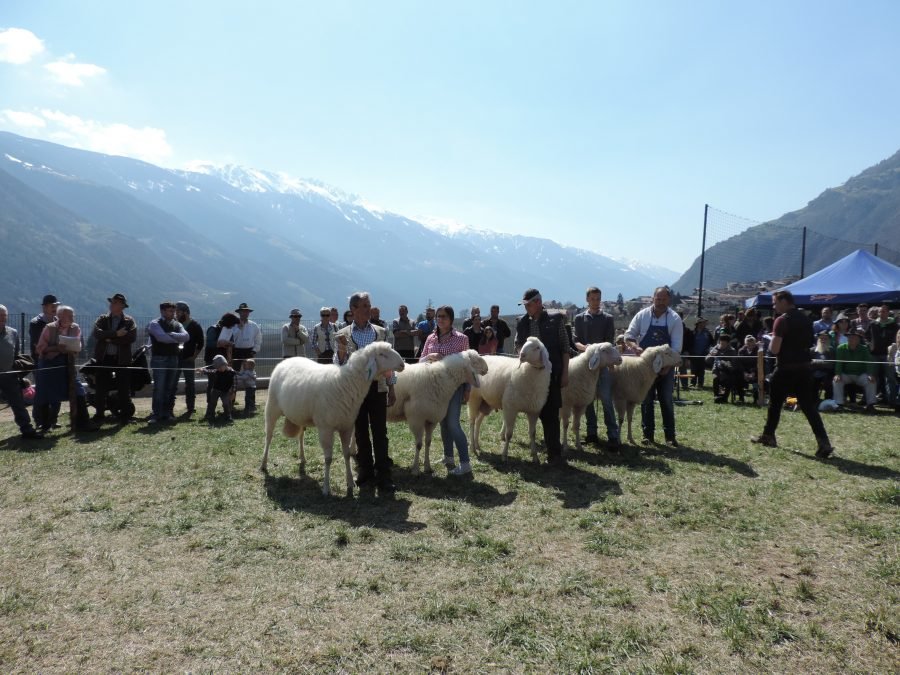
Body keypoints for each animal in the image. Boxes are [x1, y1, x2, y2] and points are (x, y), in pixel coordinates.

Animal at [262, 344, 406, 496]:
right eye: (382, 354)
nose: (402, 364)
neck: (346, 383)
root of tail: (287, 360)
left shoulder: (347, 426)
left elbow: (347, 454)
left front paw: (350, 482)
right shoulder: (326, 428)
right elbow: (328, 459)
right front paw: (326, 488)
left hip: (299, 415)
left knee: (301, 436)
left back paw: (302, 457)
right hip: (272, 407)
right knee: (268, 437)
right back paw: (264, 464)